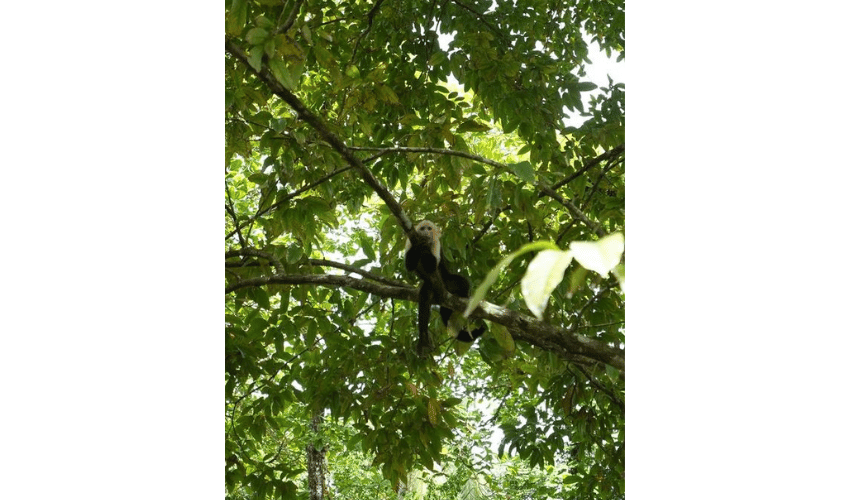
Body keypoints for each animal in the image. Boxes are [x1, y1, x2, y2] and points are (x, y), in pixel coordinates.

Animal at [404, 220, 484, 356]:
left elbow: (432, 265)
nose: (425, 232)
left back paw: (464, 297)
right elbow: (409, 265)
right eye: (422, 228)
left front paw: (424, 245)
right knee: (425, 296)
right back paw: (423, 336)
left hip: (448, 281)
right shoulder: (410, 242)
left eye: (429, 228)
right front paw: (420, 244)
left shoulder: (436, 243)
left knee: (462, 282)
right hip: (432, 287)